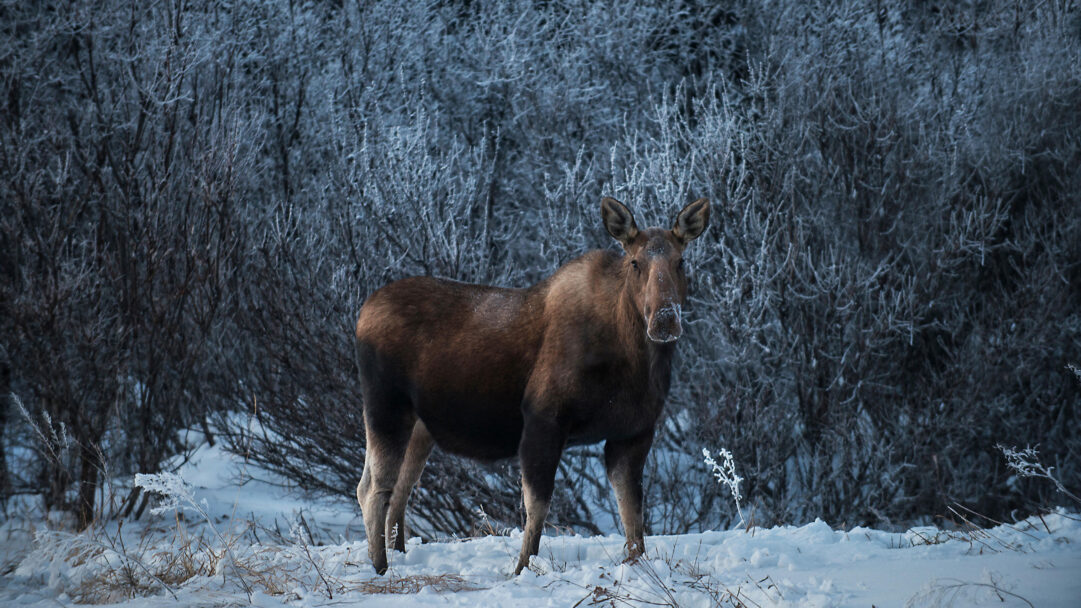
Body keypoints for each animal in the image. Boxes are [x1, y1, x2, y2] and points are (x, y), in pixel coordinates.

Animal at [354, 197, 710, 575]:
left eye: (681, 261)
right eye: (635, 262)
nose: (665, 319)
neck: (635, 361)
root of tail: (362, 314)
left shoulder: (633, 433)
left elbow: (633, 515)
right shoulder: (544, 420)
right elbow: (537, 507)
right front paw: (522, 568)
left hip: (419, 427)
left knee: (399, 488)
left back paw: (398, 554)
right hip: (385, 407)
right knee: (373, 488)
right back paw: (380, 568)